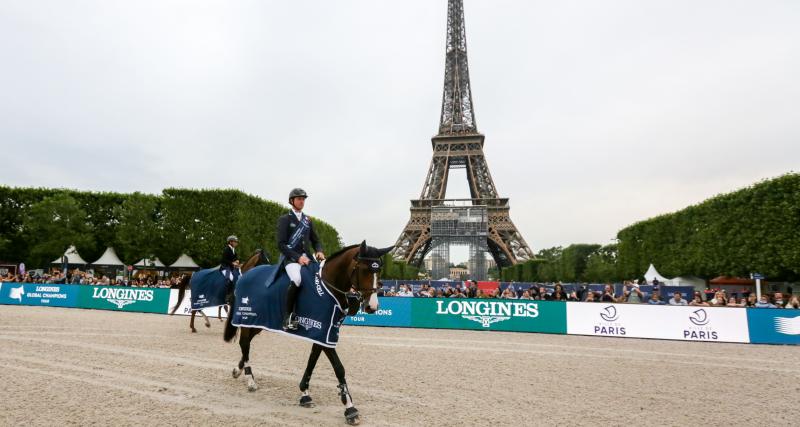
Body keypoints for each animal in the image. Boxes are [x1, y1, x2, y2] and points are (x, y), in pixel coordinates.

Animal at [223, 242, 392, 426]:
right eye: (363, 269)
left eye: (379, 271)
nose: (372, 307)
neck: (327, 287)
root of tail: (246, 274)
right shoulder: (324, 333)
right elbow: (339, 368)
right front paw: (350, 408)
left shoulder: (322, 333)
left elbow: (312, 361)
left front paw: (304, 394)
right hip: (247, 318)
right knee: (245, 343)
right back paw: (250, 380)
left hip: (259, 322)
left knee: (246, 344)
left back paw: (238, 370)